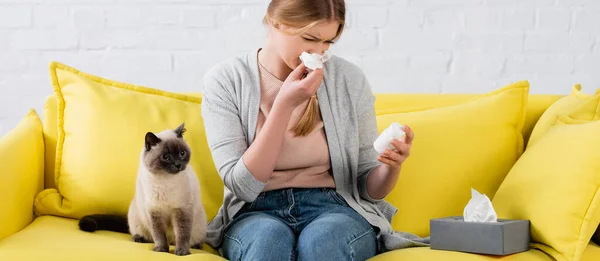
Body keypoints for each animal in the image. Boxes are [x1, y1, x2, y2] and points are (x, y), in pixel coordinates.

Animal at [79, 123, 206, 255]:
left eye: (182, 153)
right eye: (165, 157)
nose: (178, 165)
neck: (165, 180)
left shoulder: (182, 210)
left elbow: (182, 234)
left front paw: (182, 253)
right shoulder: (154, 212)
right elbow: (159, 235)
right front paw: (161, 250)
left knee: (191, 239)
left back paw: (196, 245)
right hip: (136, 215)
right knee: (142, 234)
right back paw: (139, 238)